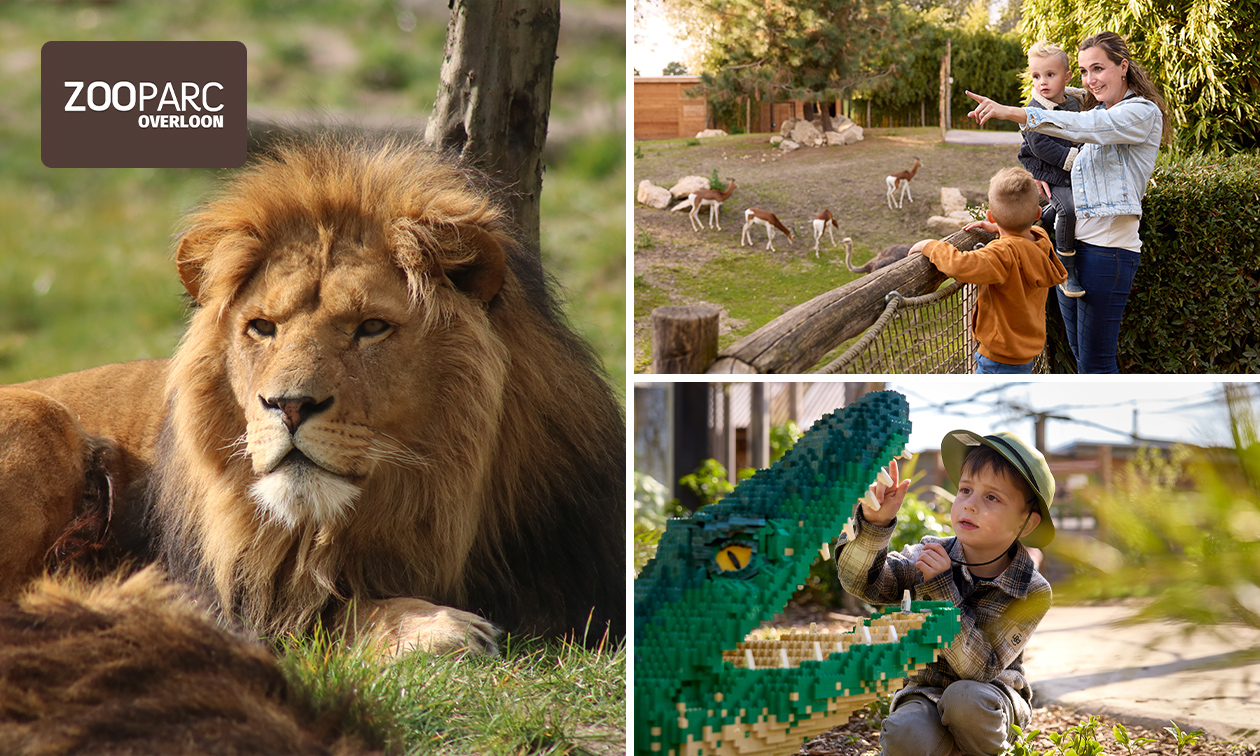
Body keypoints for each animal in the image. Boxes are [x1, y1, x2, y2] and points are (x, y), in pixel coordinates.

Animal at [0, 136, 624, 655]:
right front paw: (436, 627)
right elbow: (323, 611)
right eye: (262, 327)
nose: (289, 406)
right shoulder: (240, 597)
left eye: (371, 327)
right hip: (42, 418)